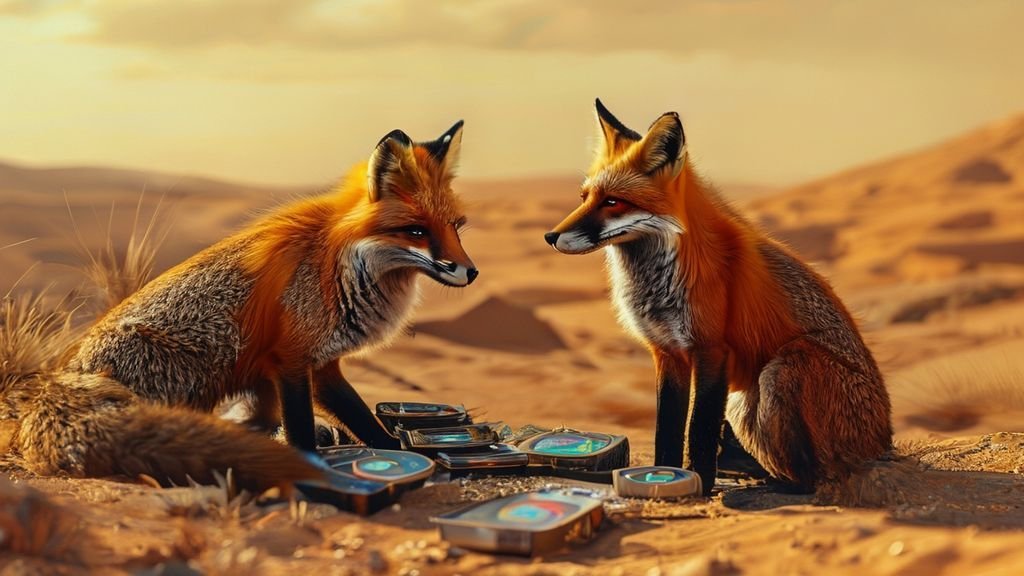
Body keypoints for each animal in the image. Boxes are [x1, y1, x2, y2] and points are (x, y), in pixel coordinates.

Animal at [4, 121, 477, 492]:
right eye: (416, 231)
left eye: (456, 226)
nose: (470, 272)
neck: (338, 266)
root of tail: (63, 380)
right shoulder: (290, 358)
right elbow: (302, 428)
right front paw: (310, 466)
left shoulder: (322, 364)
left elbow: (362, 419)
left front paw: (399, 449)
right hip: (199, 367)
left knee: (250, 421)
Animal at [545, 100, 892, 494]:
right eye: (584, 198)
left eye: (613, 202)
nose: (550, 236)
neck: (659, 282)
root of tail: (884, 443)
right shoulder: (667, 352)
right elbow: (667, 427)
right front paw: (663, 473)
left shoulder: (712, 348)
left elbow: (699, 428)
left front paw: (699, 481)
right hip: (744, 403)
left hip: (780, 370)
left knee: (820, 475)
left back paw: (782, 485)